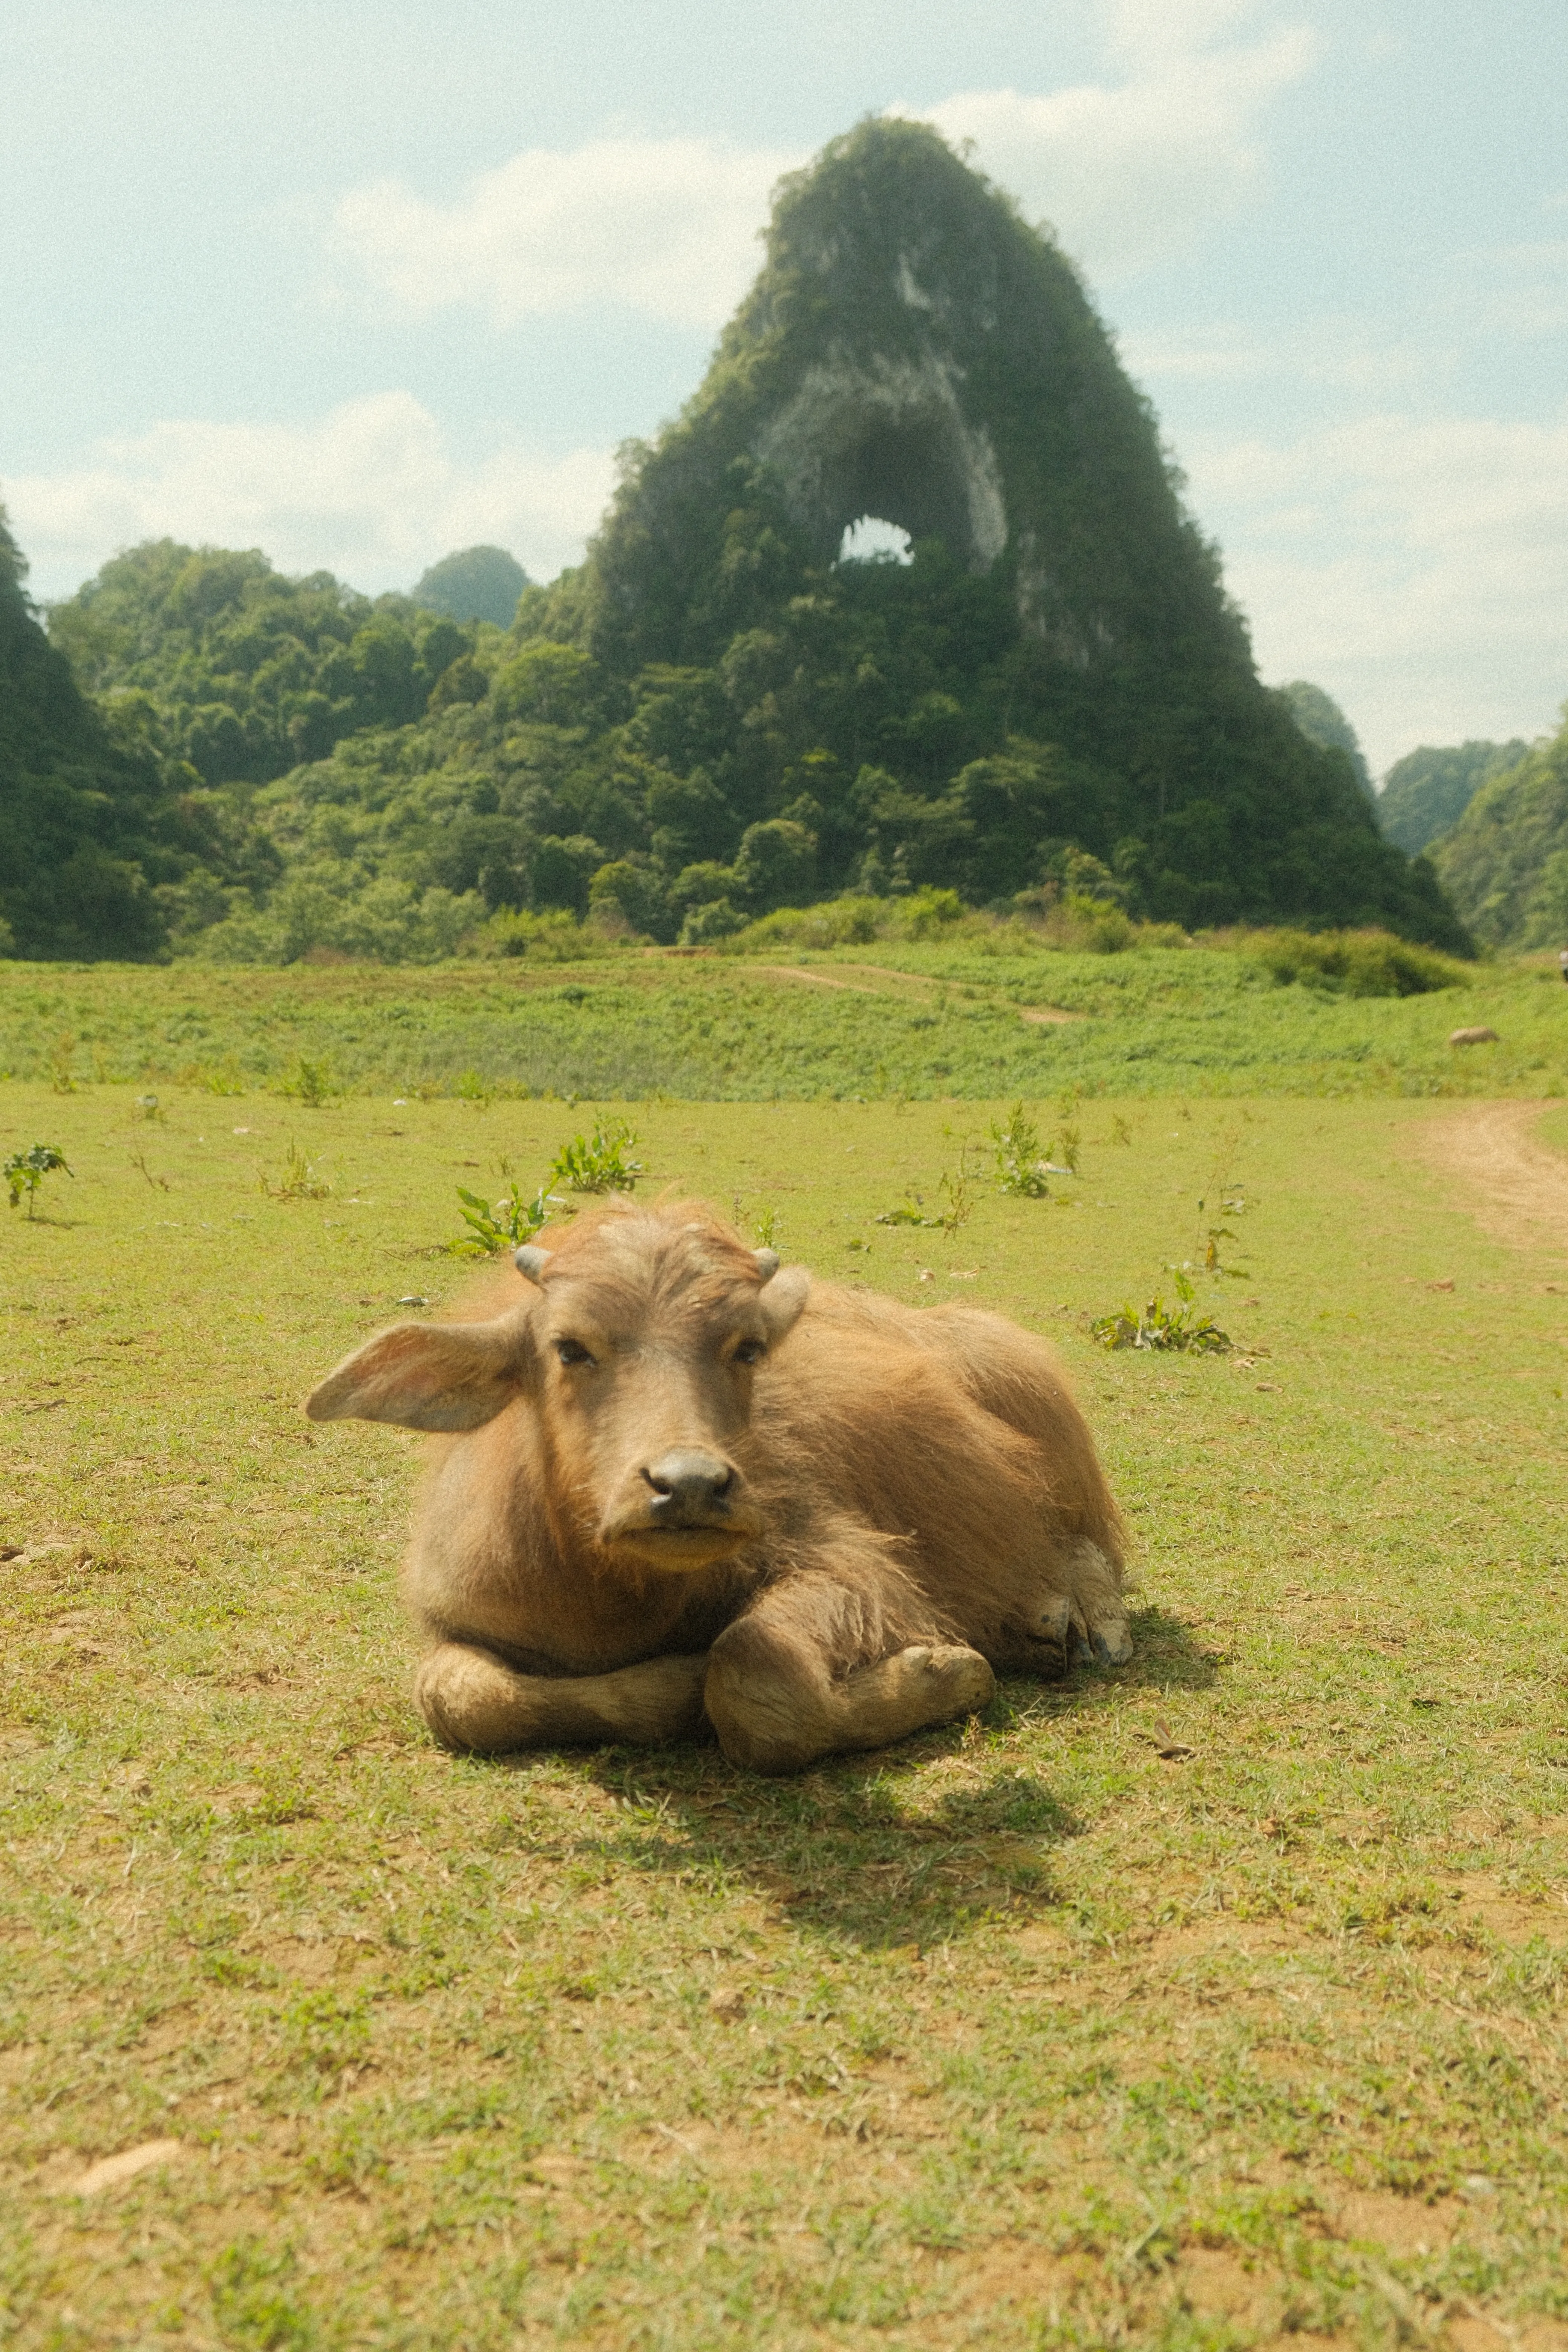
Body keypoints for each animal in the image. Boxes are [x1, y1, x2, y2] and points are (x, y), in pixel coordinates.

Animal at [305, 1199, 1132, 1774]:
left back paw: (1086, 1625)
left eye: (748, 1348)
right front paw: (669, 1688)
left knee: (1087, 1545)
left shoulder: (852, 1562)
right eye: (569, 1347)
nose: (690, 1486)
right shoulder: (457, 1615)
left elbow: (752, 1678)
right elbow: (460, 1700)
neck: (616, 1598)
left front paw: (946, 1671)